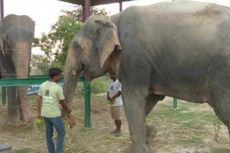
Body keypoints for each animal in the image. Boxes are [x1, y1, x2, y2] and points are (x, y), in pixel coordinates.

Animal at [63, 0, 230, 152]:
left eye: (77, 47)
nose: (71, 124)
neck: (112, 18)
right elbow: (149, 99)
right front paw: (150, 134)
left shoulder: (133, 58)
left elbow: (133, 98)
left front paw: (140, 148)